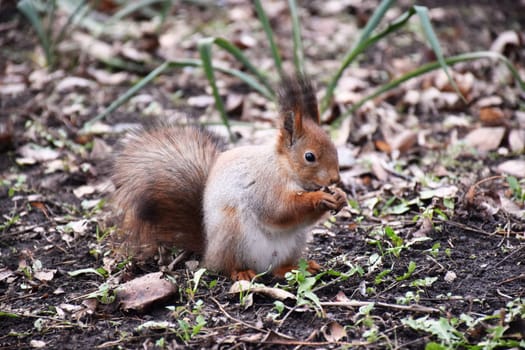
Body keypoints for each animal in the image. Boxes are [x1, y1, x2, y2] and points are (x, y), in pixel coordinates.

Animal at [111, 75, 344, 280]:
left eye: (335, 148)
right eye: (309, 156)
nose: (334, 179)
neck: (284, 167)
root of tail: (209, 252)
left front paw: (340, 196)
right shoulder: (265, 184)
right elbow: (279, 209)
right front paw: (319, 198)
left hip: (294, 243)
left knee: (278, 267)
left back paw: (294, 267)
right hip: (232, 233)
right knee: (226, 266)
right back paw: (241, 272)